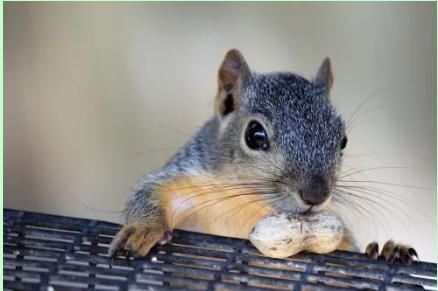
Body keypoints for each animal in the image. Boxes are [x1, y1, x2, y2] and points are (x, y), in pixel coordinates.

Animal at [108, 49, 418, 266]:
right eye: (254, 135)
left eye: (342, 140)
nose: (316, 196)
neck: (252, 203)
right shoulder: (190, 177)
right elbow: (149, 191)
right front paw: (141, 229)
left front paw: (386, 250)